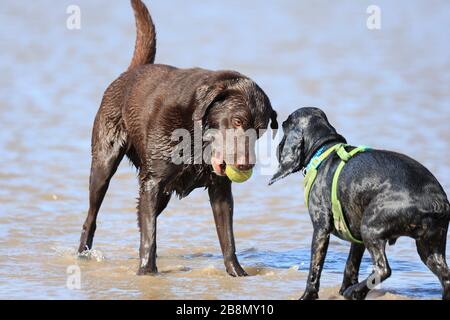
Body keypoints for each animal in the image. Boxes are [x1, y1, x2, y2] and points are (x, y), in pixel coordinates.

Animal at [79, 0, 280, 276]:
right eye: (237, 121)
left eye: (260, 130)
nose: (245, 165)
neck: (195, 137)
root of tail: (131, 71)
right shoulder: (152, 182)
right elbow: (149, 235)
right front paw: (146, 273)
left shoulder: (220, 189)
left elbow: (227, 238)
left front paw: (237, 273)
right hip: (104, 164)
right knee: (92, 215)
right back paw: (82, 254)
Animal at [268, 107, 448, 300]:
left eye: (284, 125)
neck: (324, 151)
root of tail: (435, 201)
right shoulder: (357, 239)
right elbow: (350, 265)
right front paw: (344, 290)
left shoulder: (321, 229)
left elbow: (314, 269)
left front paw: (309, 295)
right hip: (430, 247)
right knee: (446, 277)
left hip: (371, 227)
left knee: (384, 269)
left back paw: (354, 291)